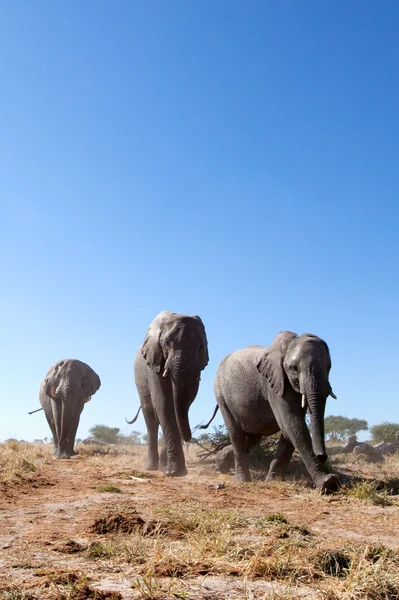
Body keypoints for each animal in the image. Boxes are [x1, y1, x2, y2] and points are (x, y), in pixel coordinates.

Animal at [128, 312, 209, 476]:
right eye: (166, 343)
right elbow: (164, 403)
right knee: (150, 417)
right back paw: (151, 467)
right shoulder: (154, 360)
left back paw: (160, 466)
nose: (201, 427)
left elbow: (183, 403)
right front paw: (174, 472)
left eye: (200, 347)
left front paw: (170, 470)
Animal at [206, 332, 340, 492]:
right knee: (236, 434)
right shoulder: (274, 384)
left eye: (329, 366)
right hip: (221, 394)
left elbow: (290, 429)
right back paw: (241, 480)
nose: (322, 456)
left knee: (251, 439)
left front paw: (272, 480)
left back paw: (221, 463)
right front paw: (328, 482)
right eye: (294, 368)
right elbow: (291, 424)